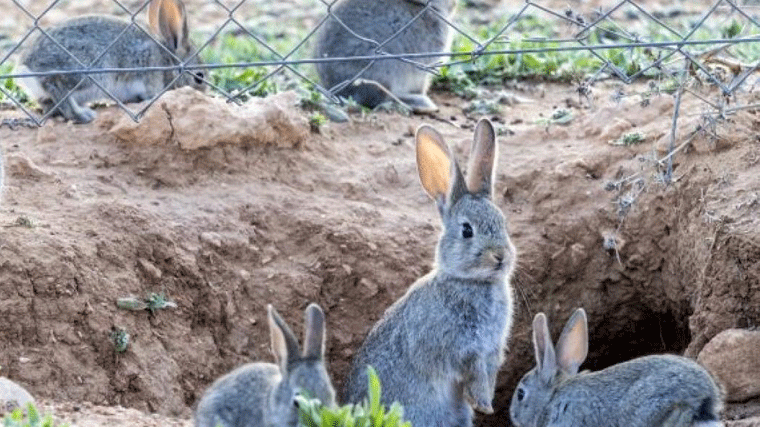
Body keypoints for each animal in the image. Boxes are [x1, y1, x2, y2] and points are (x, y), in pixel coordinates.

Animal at [17, 0, 205, 124]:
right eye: (199, 77)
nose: (204, 93)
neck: (168, 61)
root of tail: (28, 67)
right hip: (90, 70)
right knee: (56, 84)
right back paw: (83, 115)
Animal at [314, 0, 458, 113]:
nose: (454, 4)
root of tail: (337, 92)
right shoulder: (422, 68)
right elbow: (421, 85)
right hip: (381, 73)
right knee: (379, 100)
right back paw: (421, 104)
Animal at [344, 118, 516, 427]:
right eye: (467, 230)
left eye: (503, 223)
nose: (500, 256)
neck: (473, 282)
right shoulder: (460, 350)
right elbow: (471, 371)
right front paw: (481, 404)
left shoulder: (492, 350)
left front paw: (485, 406)